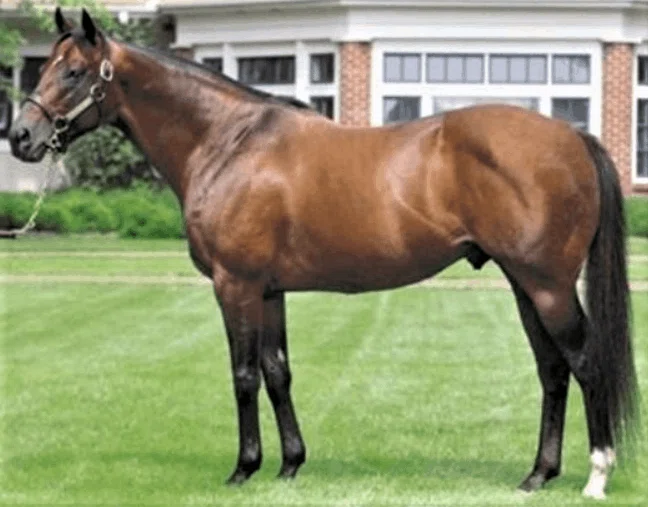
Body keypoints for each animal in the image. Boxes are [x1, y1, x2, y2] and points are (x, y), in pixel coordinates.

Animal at [9, 8, 639, 500]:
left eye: (72, 72)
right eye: (43, 67)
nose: (19, 137)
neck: (227, 142)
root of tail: (572, 136)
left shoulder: (234, 285)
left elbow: (243, 374)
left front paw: (243, 469)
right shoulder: (269, 291)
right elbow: (277, 371)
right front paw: (289, 465)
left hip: (548, 285)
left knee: (585, 363)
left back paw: (596, 475)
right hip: (523, 283)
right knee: (552, 369)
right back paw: (538, 475)